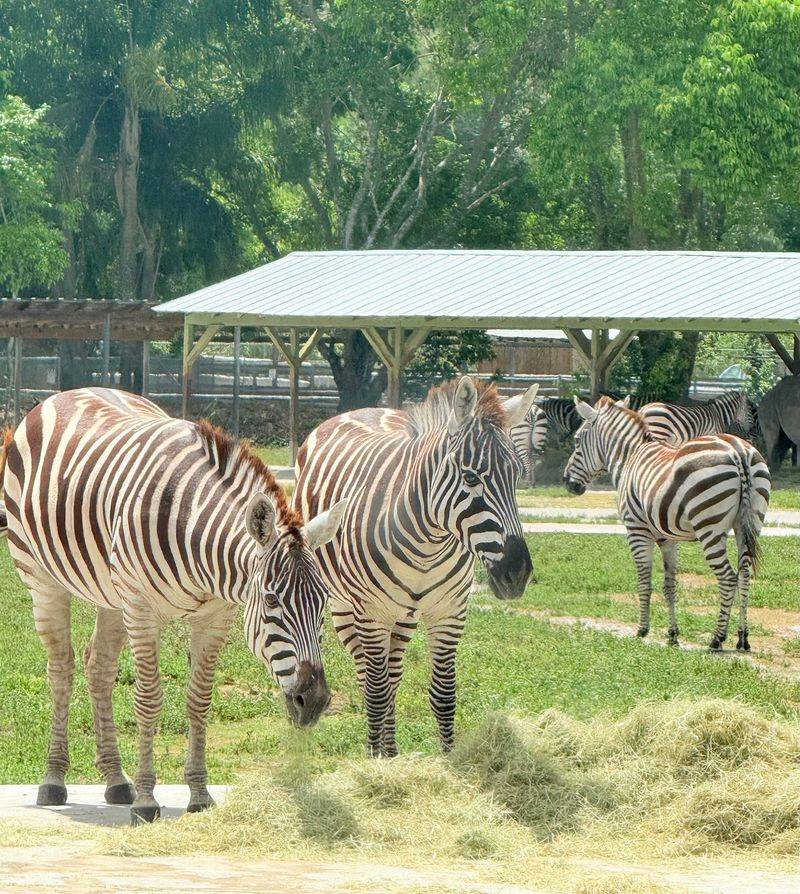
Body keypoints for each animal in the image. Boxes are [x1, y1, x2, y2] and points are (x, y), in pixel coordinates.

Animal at [2, 388, 346, 823]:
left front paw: (199, 794)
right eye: (271, 600)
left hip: (112, 594)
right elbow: (149, 699)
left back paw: (117, 780)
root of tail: (70, 392)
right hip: (43, 579)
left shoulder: (215, 617)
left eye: (323, 604)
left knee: (99, 668)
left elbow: (200, 700)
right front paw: (148, 801)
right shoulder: (142, 609)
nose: (314, 701)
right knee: (62, 669)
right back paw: (54, 780)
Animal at [293, 377, 536, 756]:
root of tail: (363, 409)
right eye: (470, 479)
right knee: (367, 676)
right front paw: (374, 762)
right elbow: (375, 694)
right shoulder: (372, 613)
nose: (518, 573)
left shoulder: (450, 611)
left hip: (404, 616)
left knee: (393, 675)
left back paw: (392, 751)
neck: (428, 546)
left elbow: (443, 695)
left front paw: (447, 758)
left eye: (517, 477)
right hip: (344, 607)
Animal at [563, 396, 770, 651]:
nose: (568, 483)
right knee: (745, 575)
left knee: (728, 577)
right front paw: (672, 634)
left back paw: (717, 638)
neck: (630, 457)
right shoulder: (669, 537)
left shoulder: (637, 530)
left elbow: (644, 582)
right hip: (749, 524)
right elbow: (670, 585)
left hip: (709, 528)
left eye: (577, 440)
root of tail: (739, 451)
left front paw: (642, 630)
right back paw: (743, 638)